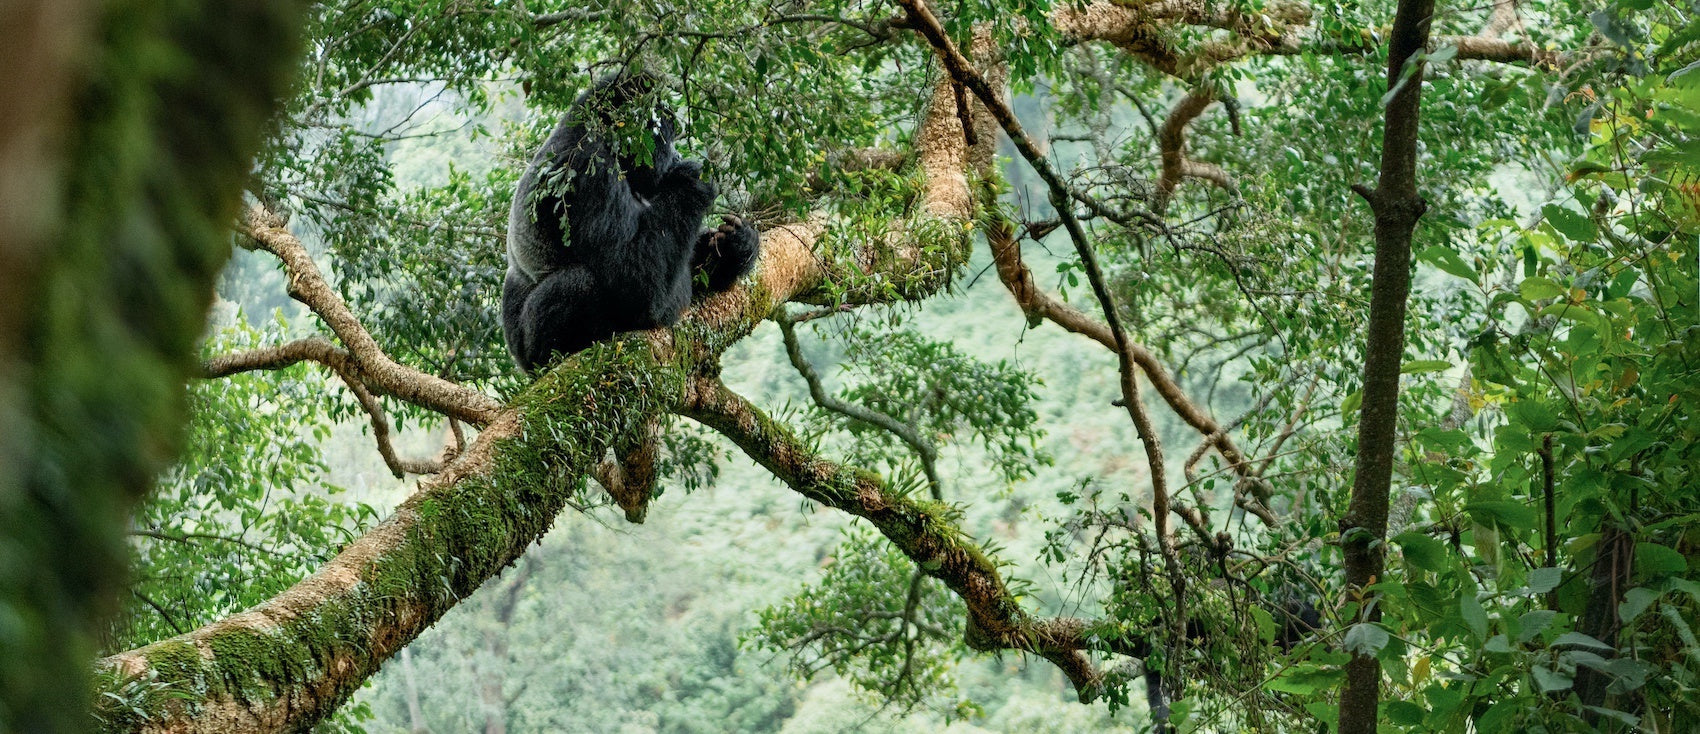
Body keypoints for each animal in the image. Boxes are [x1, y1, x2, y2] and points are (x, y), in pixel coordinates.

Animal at [499, 70, 761, 372]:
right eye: (668, 139)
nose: (677, 156)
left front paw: (735, 247)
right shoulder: (590, 170)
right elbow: (635, 280)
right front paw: (691, 180)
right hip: (530, 354)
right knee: (581, 283)